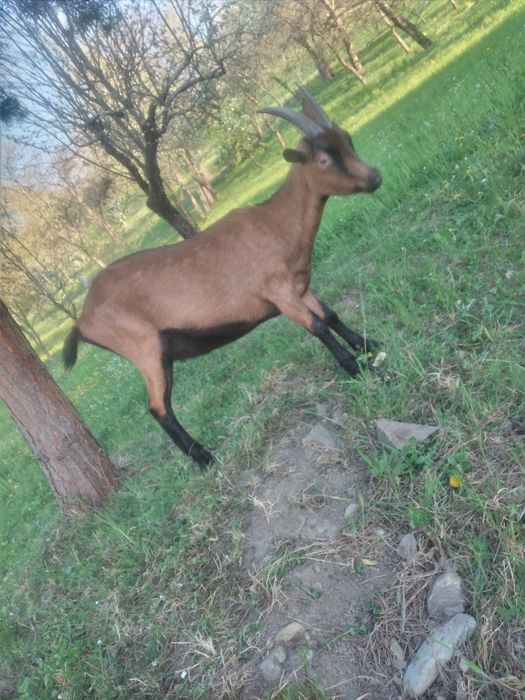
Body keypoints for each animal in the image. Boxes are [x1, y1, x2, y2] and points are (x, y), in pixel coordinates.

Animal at [63, 87, 382, 468]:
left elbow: (330, 315)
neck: (275, 224)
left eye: (347, 140)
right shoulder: (280, 294)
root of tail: (82, 319)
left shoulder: (300, 287)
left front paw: (370, 346)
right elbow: (317, 327)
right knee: (158, 407)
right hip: (142, 348)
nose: (374, 177)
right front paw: (355, 367)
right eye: (323, 159)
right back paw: (205, 458)